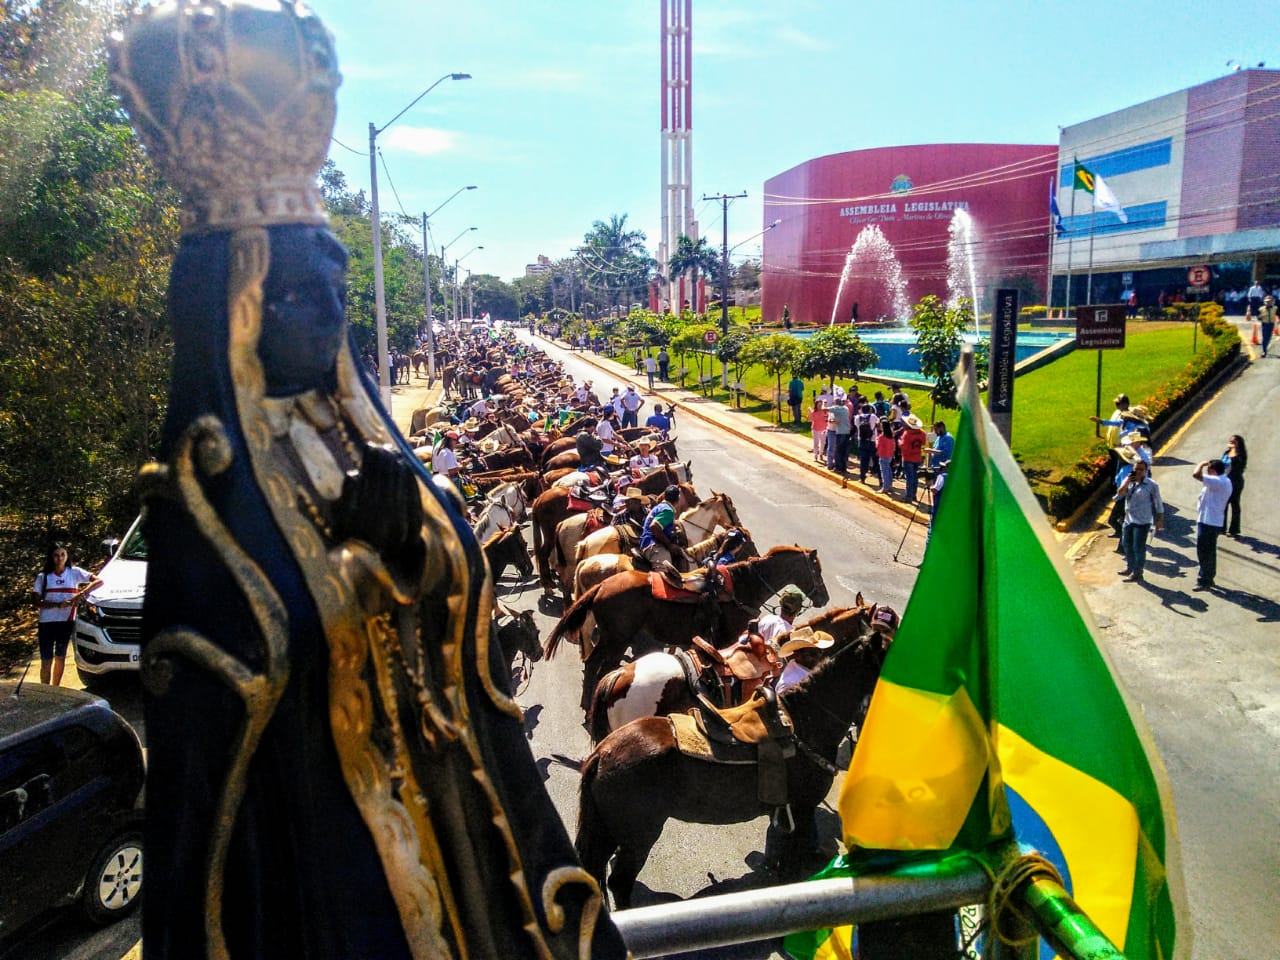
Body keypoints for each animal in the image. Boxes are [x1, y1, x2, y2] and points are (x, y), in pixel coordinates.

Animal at [547, 545, 829, 711]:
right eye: (816, 569)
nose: (824, 598)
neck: (741, 588)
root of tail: (602, 586)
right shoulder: (726, 639)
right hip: (617, 639)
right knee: (602, 667)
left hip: (609, 638)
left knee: (592, 663)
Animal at [578, 632, 890, 911]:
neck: (805, 725)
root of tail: (602, 754)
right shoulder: (803, 809)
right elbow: (792, 864)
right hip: (638, 836)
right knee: (620, 881)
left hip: (607, 830)